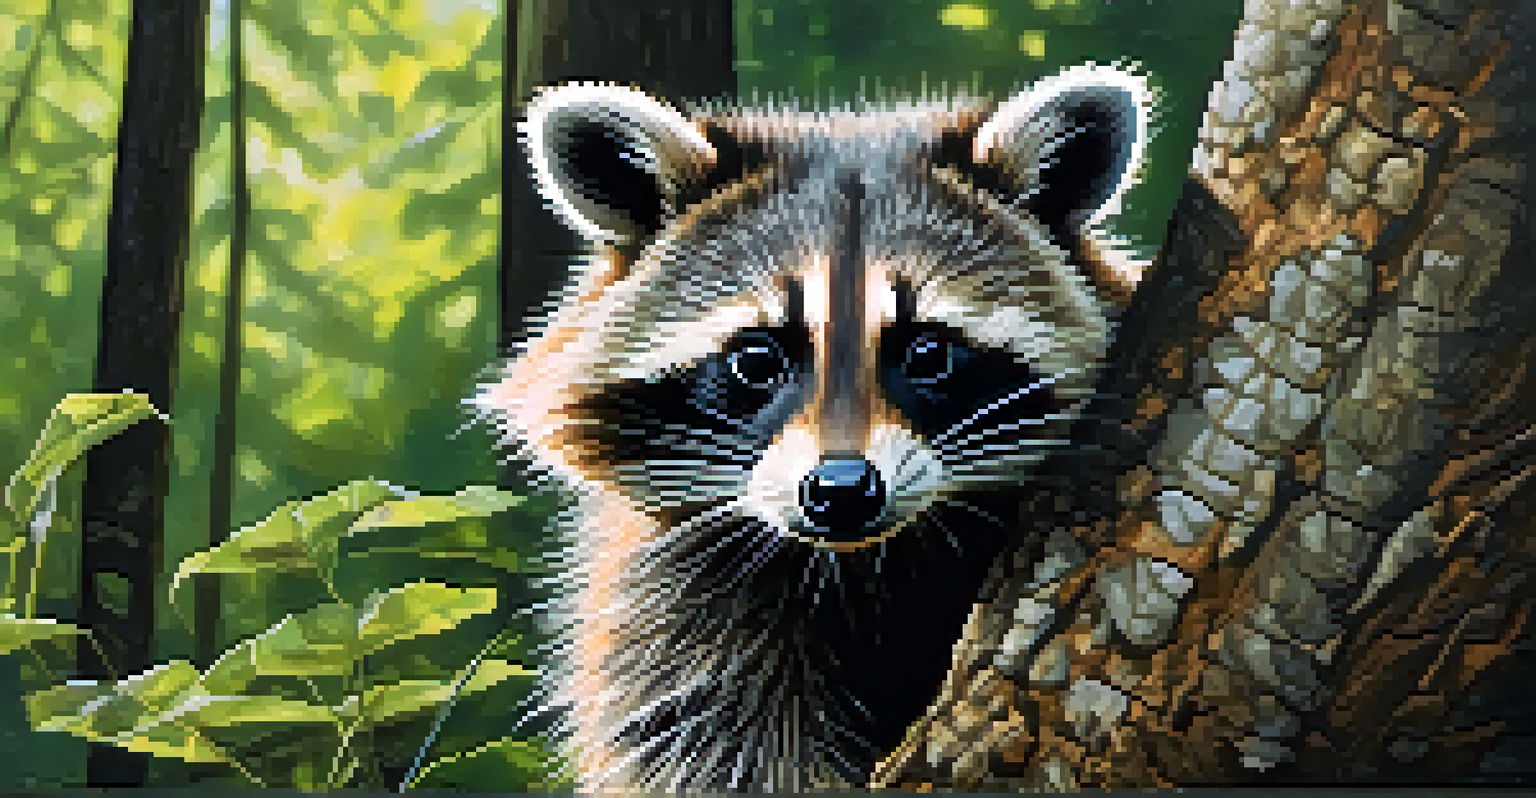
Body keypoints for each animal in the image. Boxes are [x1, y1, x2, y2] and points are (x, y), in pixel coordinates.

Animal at [476, 63, 1153, 791]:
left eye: (927, 352)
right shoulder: (673, 588)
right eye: (756, 359)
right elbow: (709, 740)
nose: (842, 489)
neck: (865, 562)